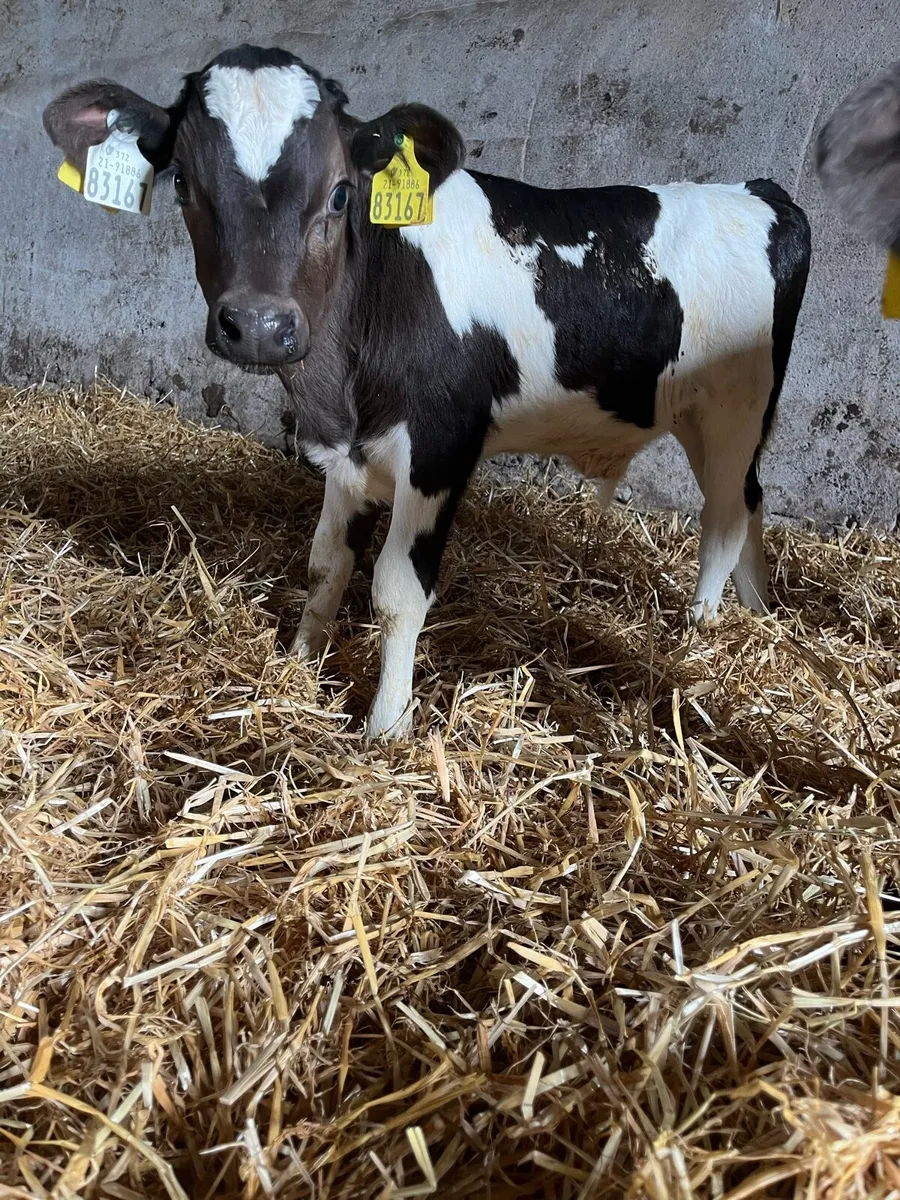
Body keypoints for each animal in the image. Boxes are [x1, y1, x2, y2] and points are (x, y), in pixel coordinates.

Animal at [44, 45, 811, 740]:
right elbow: (326, 564)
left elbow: (396, 590)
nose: (259, 327)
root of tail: (761, 192)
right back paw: (759, 608)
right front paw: (296, 665)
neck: (339, 380)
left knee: (723, 517)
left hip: (736, 405)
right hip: (701, 415)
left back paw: (700, 627)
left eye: (341, 191)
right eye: (182, 185)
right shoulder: (347, 453)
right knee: (750, 499)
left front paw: (387, 725)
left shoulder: (441, 445)